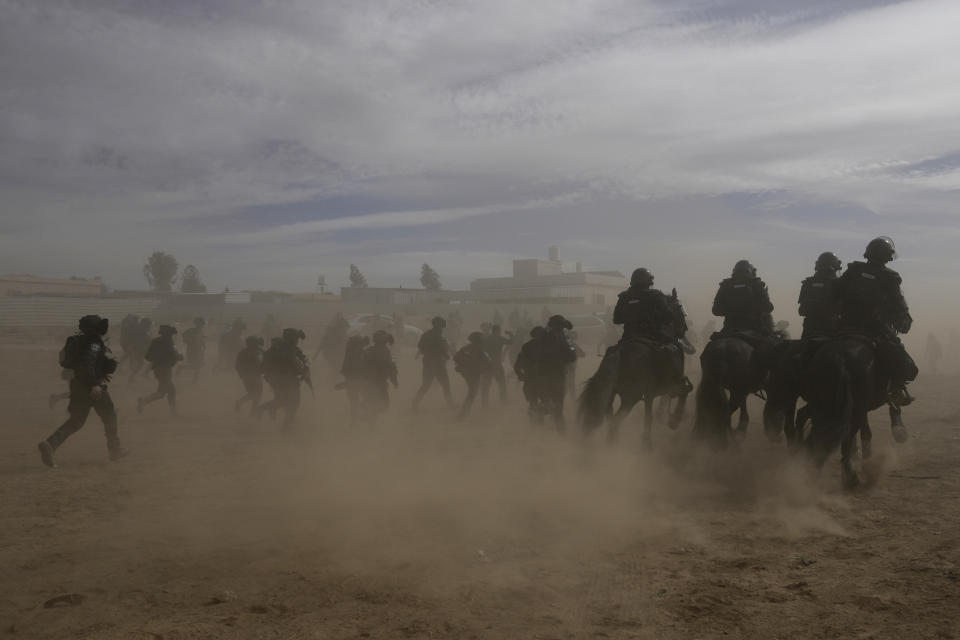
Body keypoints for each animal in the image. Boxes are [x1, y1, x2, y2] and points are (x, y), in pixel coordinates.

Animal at [572, 292, 692, 450]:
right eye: (680, 308)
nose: (684, 329)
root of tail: (619, 355)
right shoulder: (672, 386)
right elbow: (684, 392)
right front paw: (675, 420)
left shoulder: (650, 395)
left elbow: (648, 417)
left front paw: (647, 441)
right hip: (630, 398)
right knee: (616, 421)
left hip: (612, 398)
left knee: (612, 421)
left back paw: (613, 444)